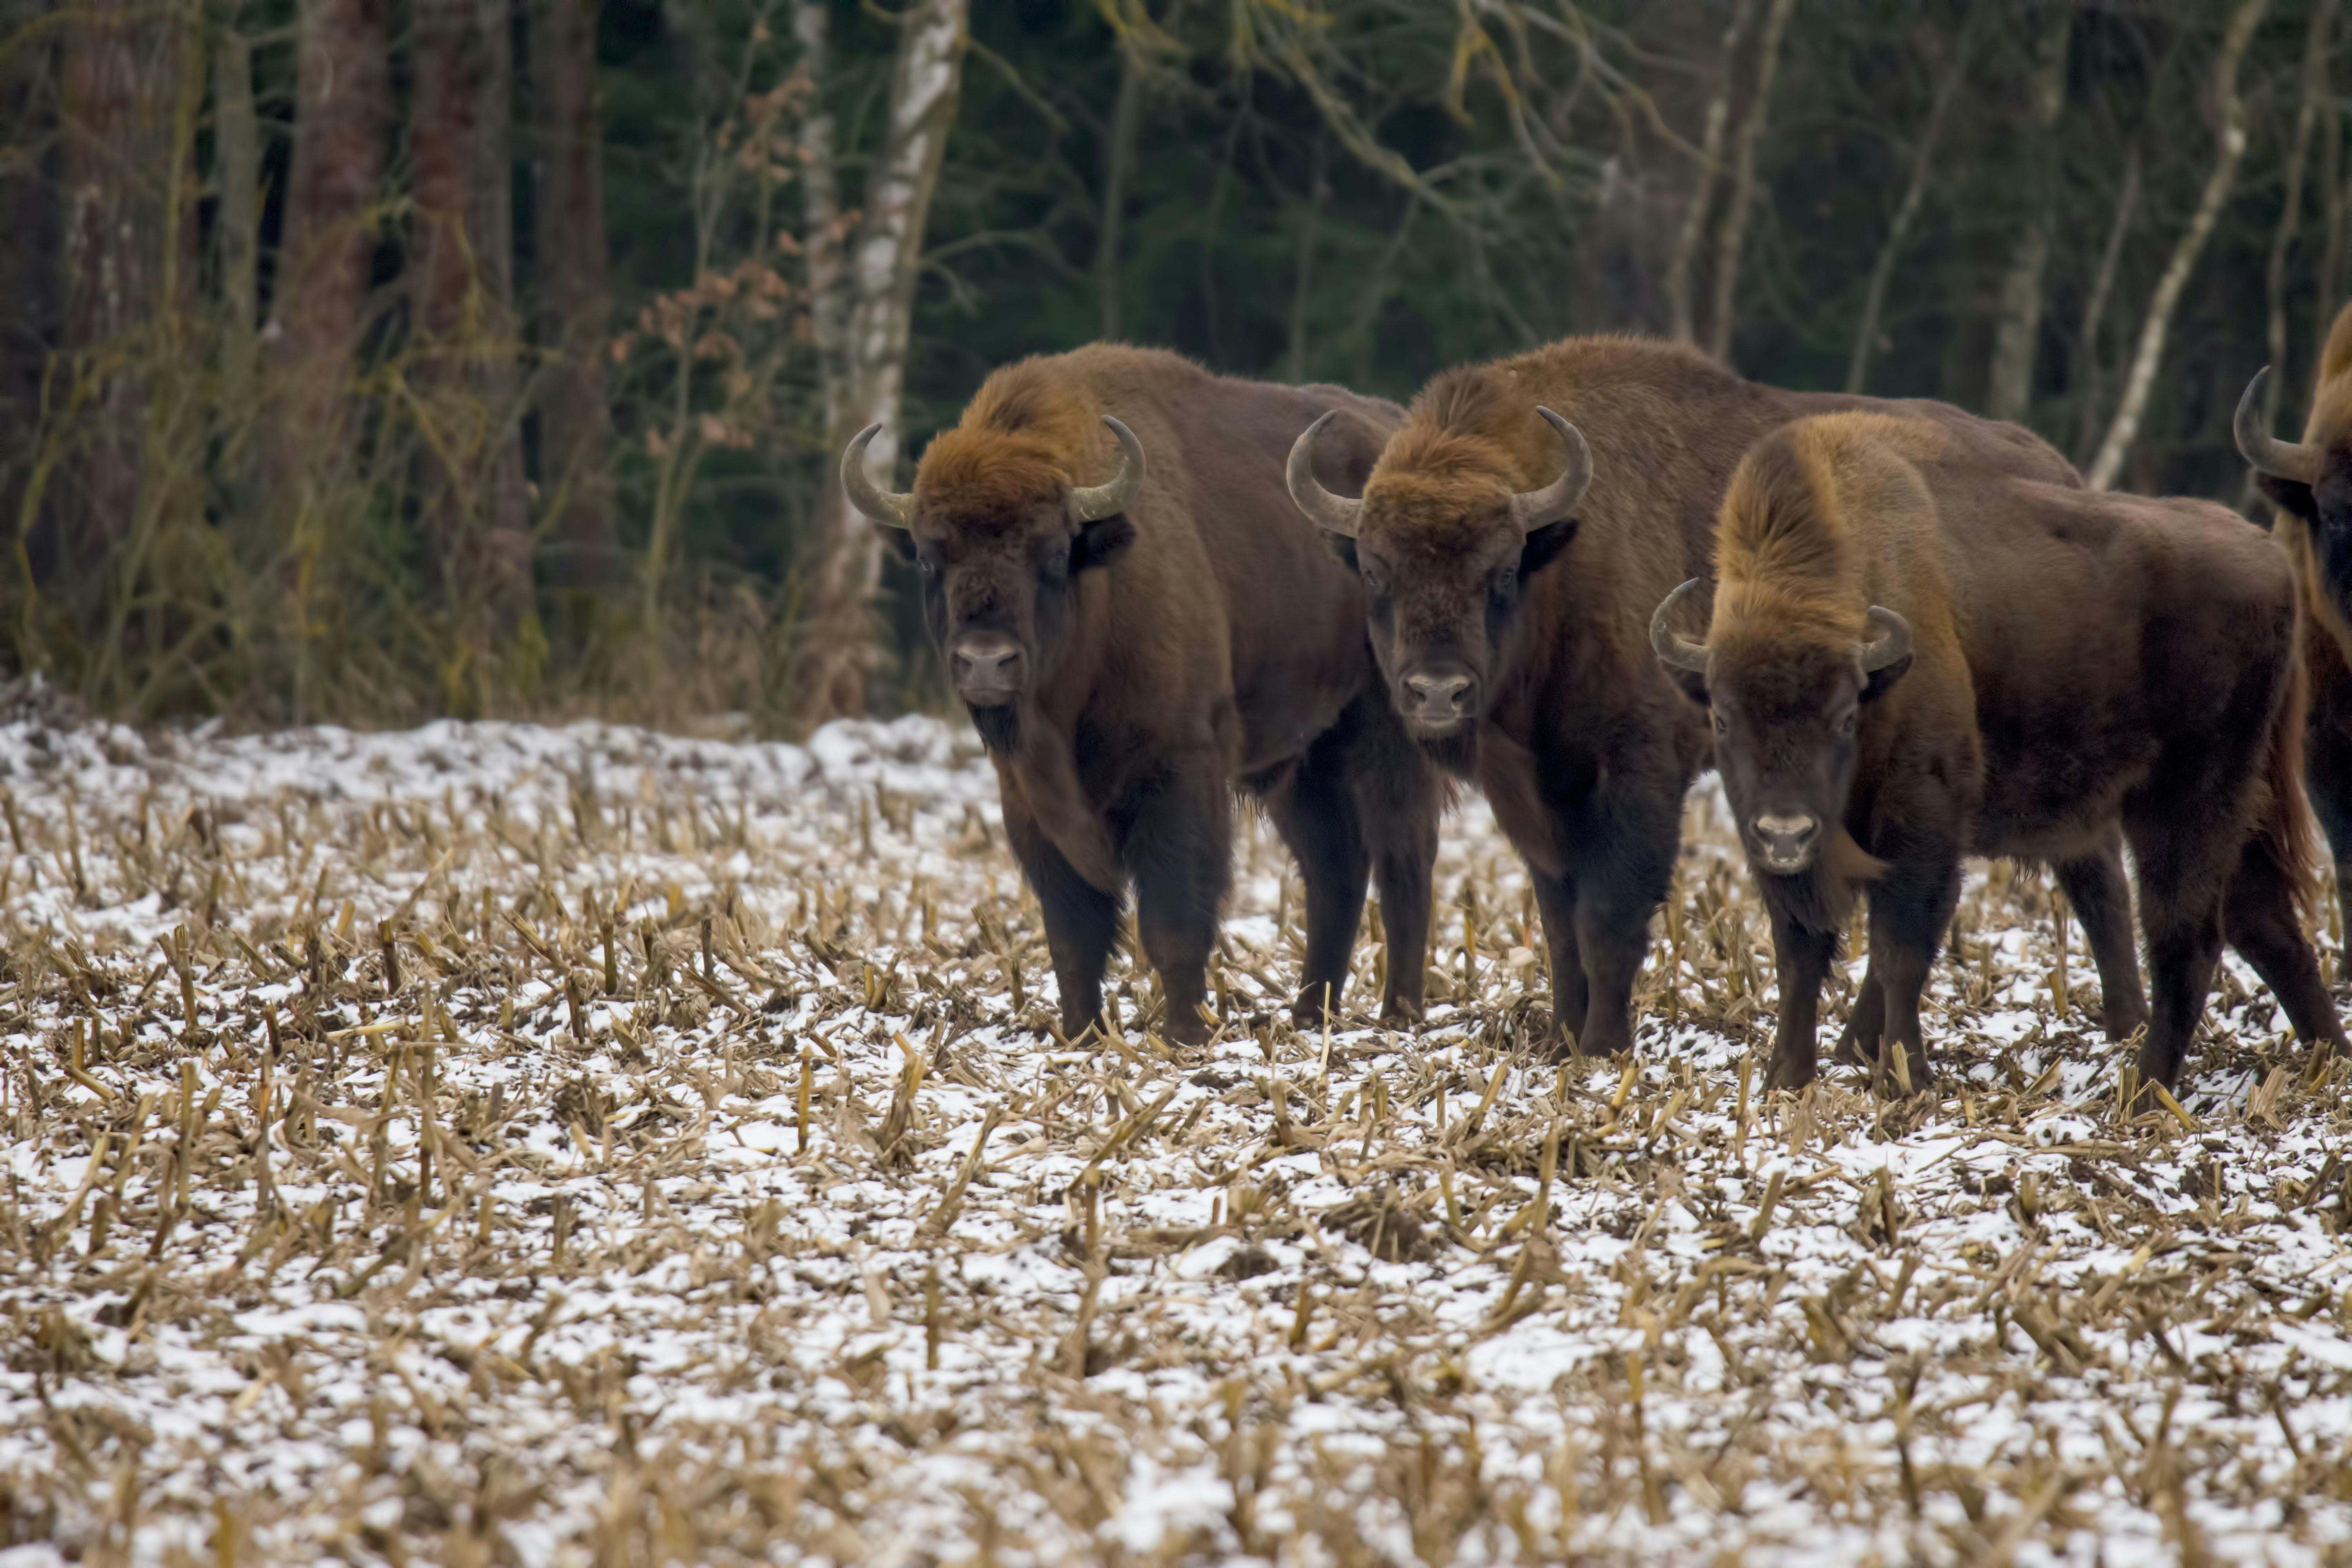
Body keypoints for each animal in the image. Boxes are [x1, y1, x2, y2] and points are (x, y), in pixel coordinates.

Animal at [837, 350, 1439, 1048]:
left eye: (1052, 553)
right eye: (932, 558)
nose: (986, 660)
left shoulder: (1177, 773)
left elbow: (1172, 918)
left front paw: (1184, 1035)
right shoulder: (1030, 802)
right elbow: (1072, 933)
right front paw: (1081, 1033)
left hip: (1388, 730)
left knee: (1404, 857)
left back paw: (1399, 1013)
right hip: (1304, 760)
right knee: (1333, 870)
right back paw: (1310, 1014)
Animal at [1289, 338, 2136, 1062]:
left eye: (1499, 570)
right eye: (1375, 569)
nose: (1437, 691)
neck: (1563, 558)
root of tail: (2061, 471)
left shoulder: (1639, 772)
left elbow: (1609, 915)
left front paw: (1602, 1045)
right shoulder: (1536, 794)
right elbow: (1559, 921)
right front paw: (1562, 1037)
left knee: (2092, 877)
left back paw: (2121, 1027)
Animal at [1646, 411, 2343, 1091]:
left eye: (1845, 716)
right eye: (1723, 718)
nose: (1786, 833)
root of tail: (2271, 557)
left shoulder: (1922, 824)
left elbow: (1900, 950)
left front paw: (1907, 1079)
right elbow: (1800, 952)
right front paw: (1784, 1081)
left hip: (2186, 801)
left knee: (2187, 934)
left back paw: (2144, 1094)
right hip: (2240, 803)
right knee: (2266, 925)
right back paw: (2326, 1060)